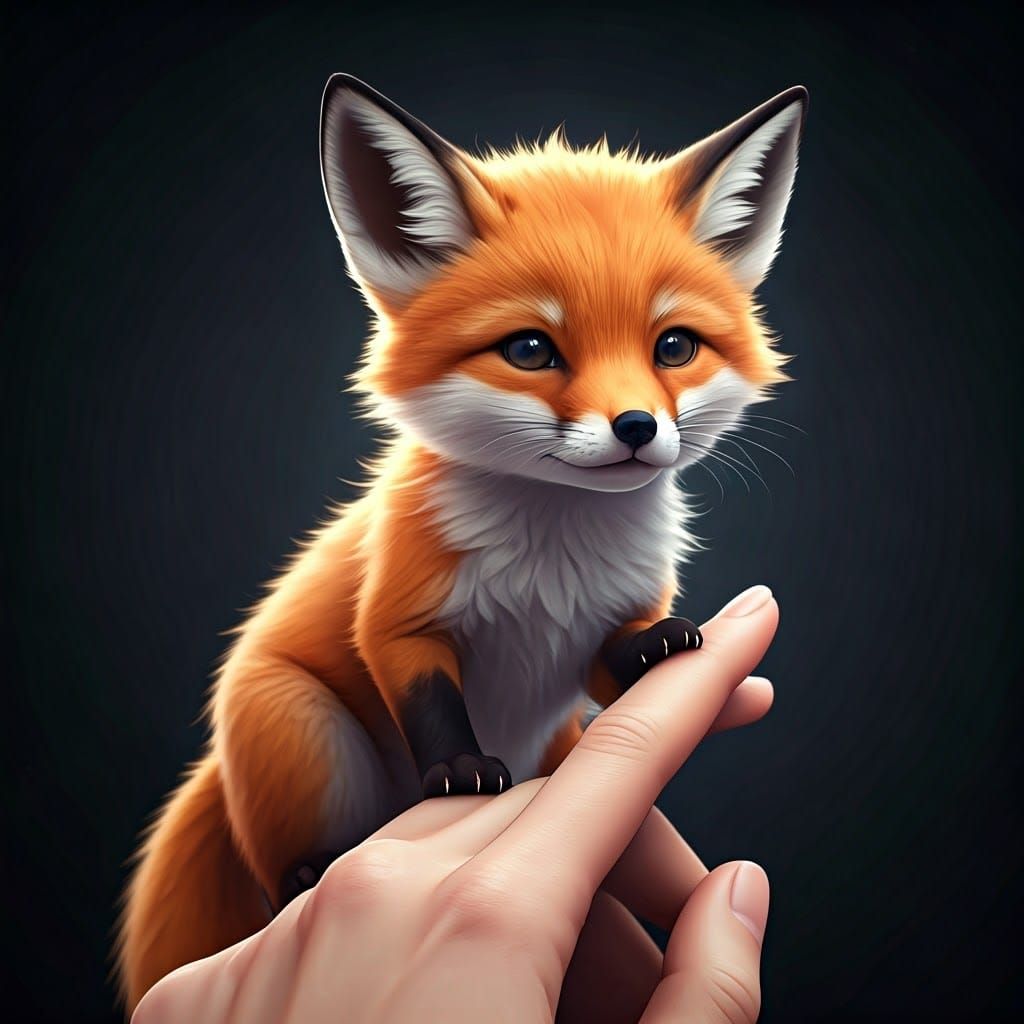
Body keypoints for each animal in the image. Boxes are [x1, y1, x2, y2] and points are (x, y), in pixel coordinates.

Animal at [116, 73, 806, 1011]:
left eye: (673, 346)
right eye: (530, 348)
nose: (636, 427)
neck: (555, 561)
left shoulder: (589, 647)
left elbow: (617, 659)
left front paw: (658, 645)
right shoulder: (401, 619)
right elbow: (431, 702)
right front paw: (463, 772)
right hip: (303, 729)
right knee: (282, 867)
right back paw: (308, 874)